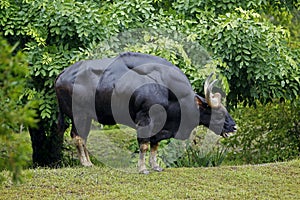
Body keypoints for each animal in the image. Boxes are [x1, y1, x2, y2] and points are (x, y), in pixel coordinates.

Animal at [54, 51, 237, 173]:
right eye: (219, 113)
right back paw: (85, 163)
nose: (234, 127)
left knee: (83, 137)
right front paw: (142, 169)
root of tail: (63, 74)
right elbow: (143, 145)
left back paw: (88, 162)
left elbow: (155, 145)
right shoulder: (144, 120)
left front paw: (155, 166)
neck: (169, 91)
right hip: (79, 114)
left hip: (86, 116)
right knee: (77, 136)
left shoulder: (160, 125)